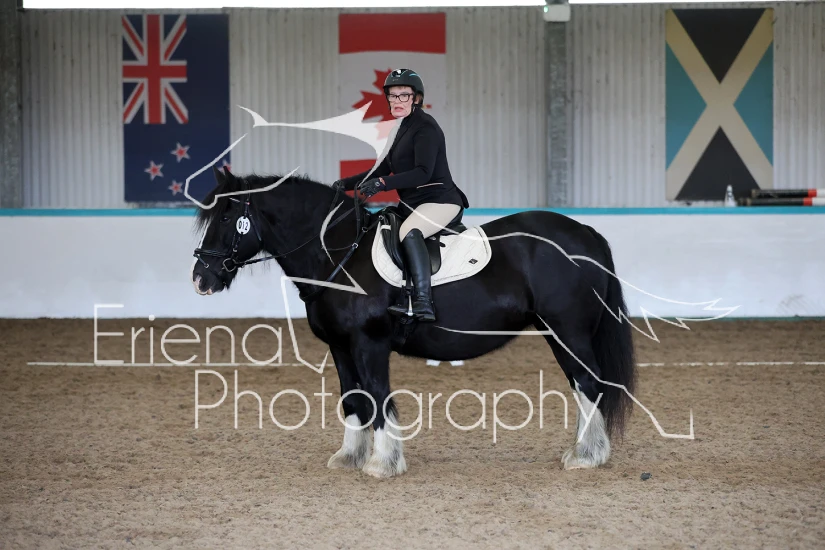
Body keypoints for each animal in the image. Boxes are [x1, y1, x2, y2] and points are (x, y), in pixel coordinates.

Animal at [190, 167, 636, 479]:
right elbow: (353, 399)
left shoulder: (369, 344)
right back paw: (583, 451)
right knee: (583, 386)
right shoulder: (340, 346)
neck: (339, 253)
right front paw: (349, 457)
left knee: (589, 383)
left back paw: (587, 457)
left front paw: (383, 463)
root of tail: (585, 233)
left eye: (227, 219)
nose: (201, 279)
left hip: (568, 331)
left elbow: (377, 396)